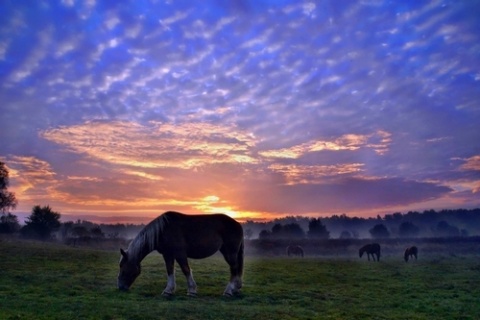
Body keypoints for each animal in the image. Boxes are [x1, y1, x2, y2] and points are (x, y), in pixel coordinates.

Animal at [116, 211, 244, 296]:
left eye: (122, 266)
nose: (120, 287)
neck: (163, 230)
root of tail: (238, 224)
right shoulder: (168, 255)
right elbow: (170, 270)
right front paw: (168, 290)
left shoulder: (180, 254)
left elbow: (185, 269)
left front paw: (191, 290)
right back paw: (236, 288)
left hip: (230, 252)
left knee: (234, 268)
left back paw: (229, 291)